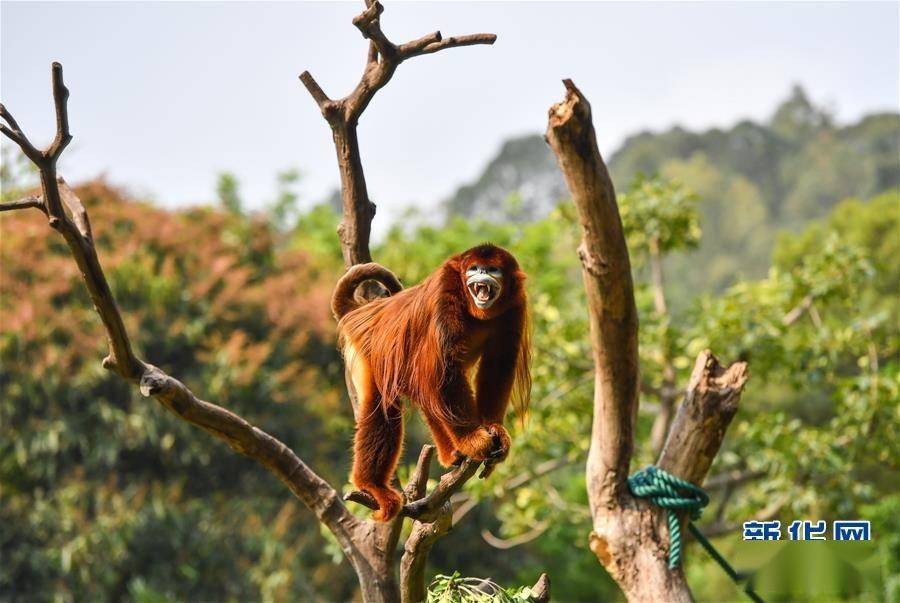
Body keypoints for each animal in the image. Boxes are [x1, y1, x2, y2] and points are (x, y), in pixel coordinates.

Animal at [328, 243, 528, 520]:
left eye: (492, 269)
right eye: (474, 268)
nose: (481, 275)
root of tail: (365, 311)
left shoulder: (516, 304)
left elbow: (498, 365)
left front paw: (493, 428)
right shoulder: (446, 291)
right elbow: (444, 368)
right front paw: (472, 440)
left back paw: (451, 454)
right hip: (372, 346)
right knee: (386, 403)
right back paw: (372, 485)